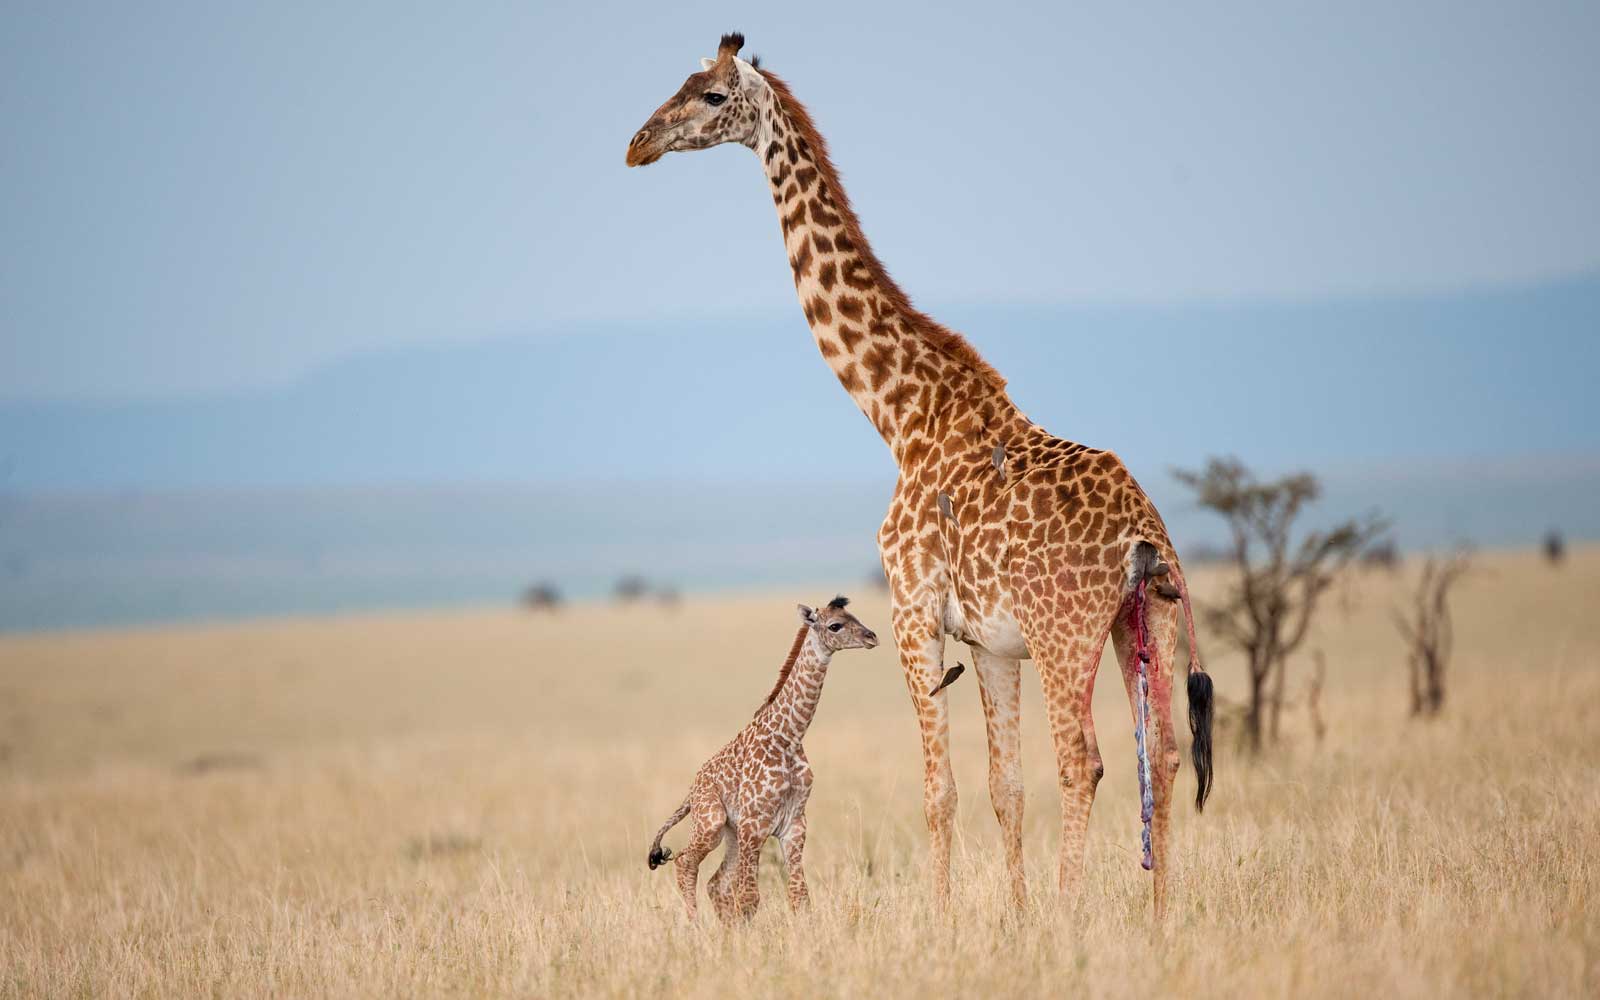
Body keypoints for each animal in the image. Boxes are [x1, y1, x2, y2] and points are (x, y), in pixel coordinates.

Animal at [646, 592, 876, 921]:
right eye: (835, 625)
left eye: (854, 617)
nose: (872, 637)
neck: (788, 737)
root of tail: (691, 792)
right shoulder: (753, 824)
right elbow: (749, 898)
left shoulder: (794, 824)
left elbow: (799, 896)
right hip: (712, 822)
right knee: (685, 863)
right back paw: (694, 925)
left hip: (731, 833)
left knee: (716, 883)